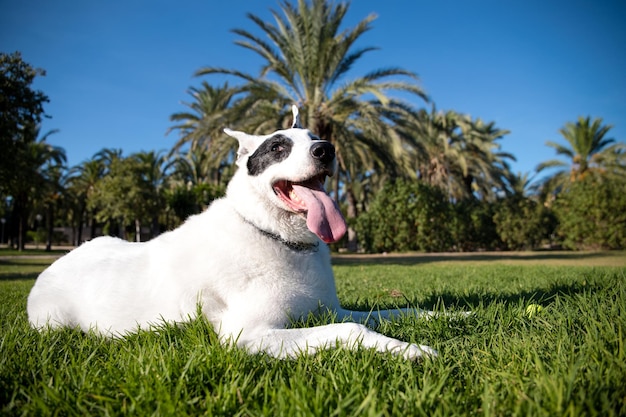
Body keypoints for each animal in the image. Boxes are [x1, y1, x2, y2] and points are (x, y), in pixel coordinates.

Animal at [26, 105, 436, 360]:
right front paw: (410, 351)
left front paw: (442, 315)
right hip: (54, 323)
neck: (277, 237)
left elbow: (393, 311)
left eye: (315, 136)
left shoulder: (329, 308)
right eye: (277, 147)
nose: (327, 149)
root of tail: (53, 266)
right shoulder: (248, 336)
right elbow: (351, 329)